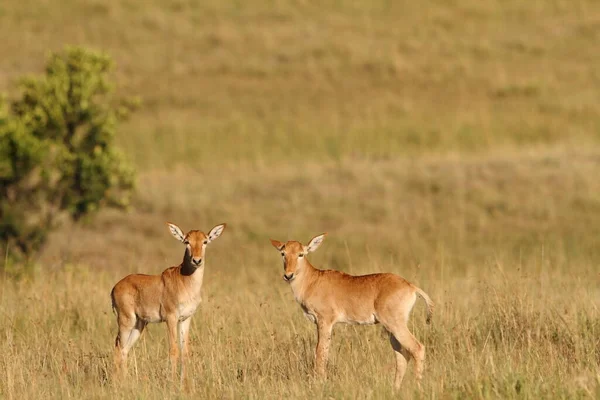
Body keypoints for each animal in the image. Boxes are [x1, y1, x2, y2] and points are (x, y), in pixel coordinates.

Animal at [111, 222, 226, 382]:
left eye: (205, 241)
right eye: (187, 241)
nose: (196, 260)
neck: (183, 280)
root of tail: (115, 287)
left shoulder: (185, 319)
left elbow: (185, 351)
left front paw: (184, 383)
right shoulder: (171, 318)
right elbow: (173, 349)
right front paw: (172, 382)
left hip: (139, 324)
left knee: (124, 349)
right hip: (126, 321)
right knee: (118, 347)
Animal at [270, 233, 434, 390]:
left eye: (301, 254)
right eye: (283, 253)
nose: (288, 275)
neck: (313, 280)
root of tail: (410, 286)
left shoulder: (325, 321)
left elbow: (320, 353)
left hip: (395, 324)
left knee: (417, 348)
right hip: (391, 328)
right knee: (401, 355)